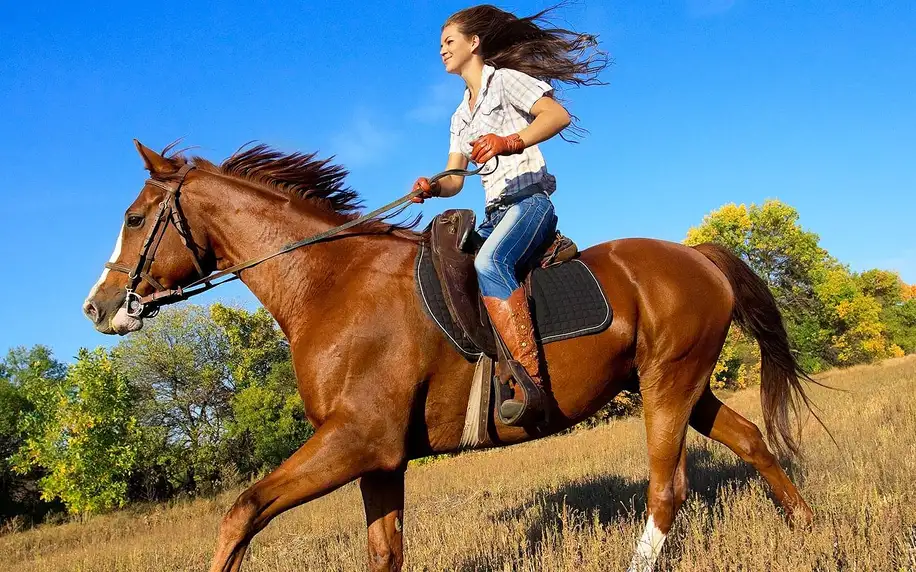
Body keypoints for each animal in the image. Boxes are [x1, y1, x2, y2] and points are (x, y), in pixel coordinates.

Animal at [84, 140, 816, 572]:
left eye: (134, 217)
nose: (98, 307)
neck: (329, 283)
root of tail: (697, 254)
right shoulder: (380, 458)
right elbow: (384, 552)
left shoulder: (357, 440)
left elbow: (243, 512)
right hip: (680, 384)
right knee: (751, 439)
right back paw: (807, 528)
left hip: (667, 386)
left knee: (668, 489)